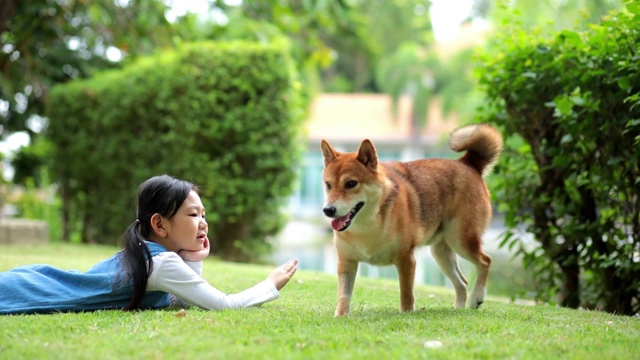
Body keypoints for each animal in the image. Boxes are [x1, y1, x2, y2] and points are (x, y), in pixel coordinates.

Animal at [322, 124, 502, 316]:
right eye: (328, 184)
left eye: (351, 183)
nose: (328, 210)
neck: (368, 225)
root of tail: (467, 163)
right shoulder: (346, 262)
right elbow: (344, 296)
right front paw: (340, 316)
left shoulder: (406, 259)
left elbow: (406, 294)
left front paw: (406, 313)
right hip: (441, 252)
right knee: (462, 282)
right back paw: (458, 308)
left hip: (460, 240)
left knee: (485, 261)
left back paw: (477, 296)